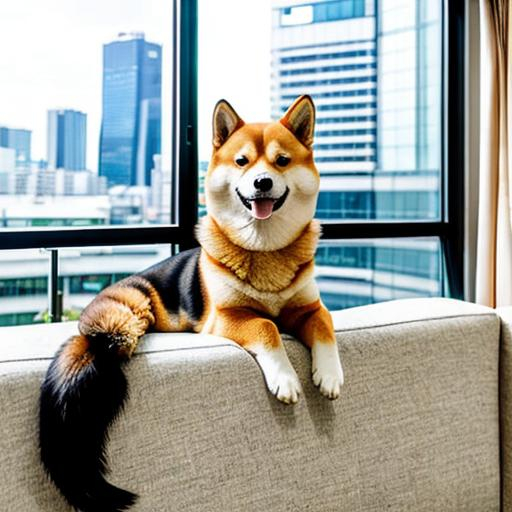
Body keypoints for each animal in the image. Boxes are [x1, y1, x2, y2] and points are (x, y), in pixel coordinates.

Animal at [39, 95, 344, 508]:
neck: (264, 249)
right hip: (131, 312)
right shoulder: (226, 317)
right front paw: (285, 378)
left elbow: (325, 325)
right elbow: (266, 326)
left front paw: (328, 374)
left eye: (282, 161)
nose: (262, 182)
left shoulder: (308, 307)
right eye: (242, 161)